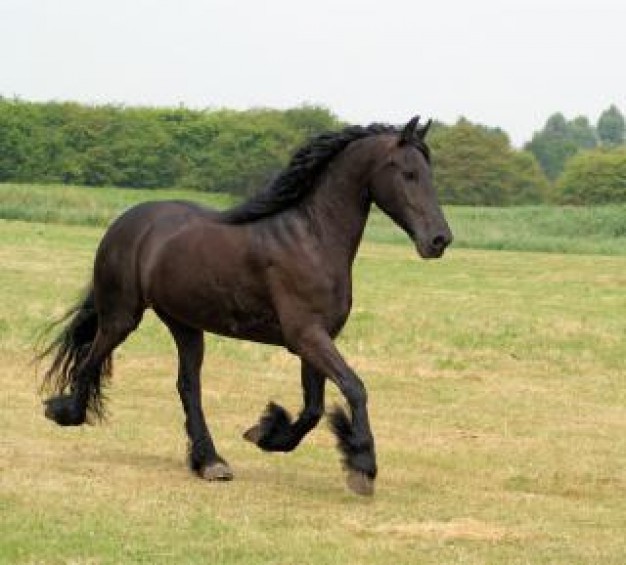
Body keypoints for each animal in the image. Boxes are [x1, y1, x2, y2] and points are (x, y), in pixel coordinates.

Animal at [40, 117, 448, 496]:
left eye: (429, 173)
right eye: (409, 173)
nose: (439, 239)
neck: (311, 238)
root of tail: (124, 223)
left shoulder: (315, 338)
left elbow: (314, 408)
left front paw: (267, 434)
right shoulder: (307, 336)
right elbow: (354, 387)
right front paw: (362, 467)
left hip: (185, 323)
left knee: (187, 386)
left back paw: (210, 462)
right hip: (122, 316)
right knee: (91, 360)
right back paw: (65, 412)